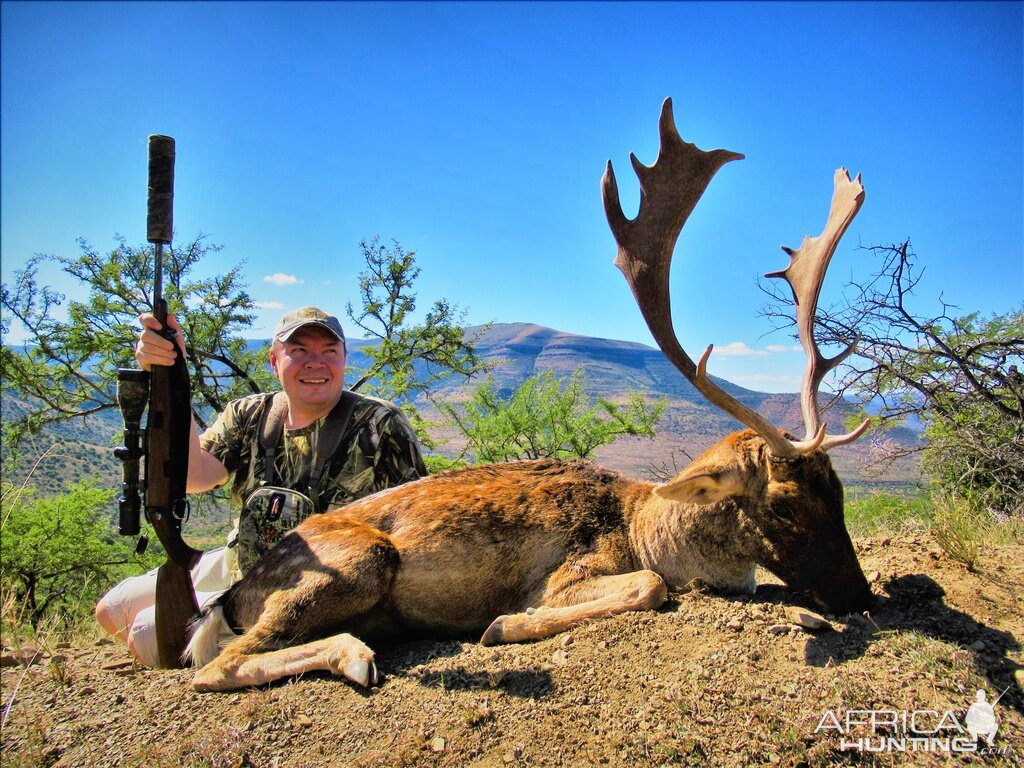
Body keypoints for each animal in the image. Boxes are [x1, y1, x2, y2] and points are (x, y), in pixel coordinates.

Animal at [186, 99, 872, 696]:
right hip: (357, 560)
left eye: (839, 491)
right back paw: (356, 654)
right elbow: (649, 585)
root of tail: (235, 593)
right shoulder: (570, 571)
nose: (860, 596)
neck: (644, 526)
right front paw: (502, 625)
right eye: (783, 505)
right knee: (217, 665)